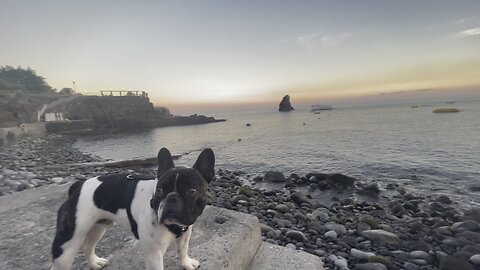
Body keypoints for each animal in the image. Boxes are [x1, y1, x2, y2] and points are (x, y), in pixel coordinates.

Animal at [50, 149, 214, 268]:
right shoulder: (154, 254)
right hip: (67, 244)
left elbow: (182, 250)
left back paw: (95, 263)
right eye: (160, 190)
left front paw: (186, 263)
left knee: (88, 246)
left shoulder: (185, 234)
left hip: (98, 227)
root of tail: (78, 186)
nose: (172, 198)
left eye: (191, 191)